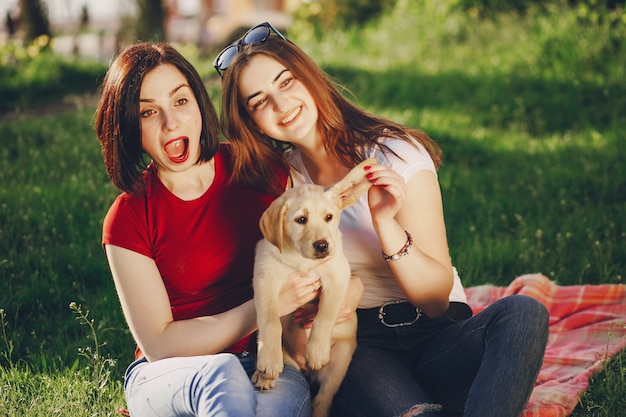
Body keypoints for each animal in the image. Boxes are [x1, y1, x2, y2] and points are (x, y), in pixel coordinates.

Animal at [250, 157, 372, 416]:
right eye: (301, 220)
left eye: (329, 217)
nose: (322, 245)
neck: (301, 259)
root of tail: (303, 369)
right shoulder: (265, 277)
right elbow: (270, 320)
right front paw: (269, 362)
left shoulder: (338, 275)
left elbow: (324, 316)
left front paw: (316, 351)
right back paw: (263, 375)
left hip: (340, 360)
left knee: (323, 399)